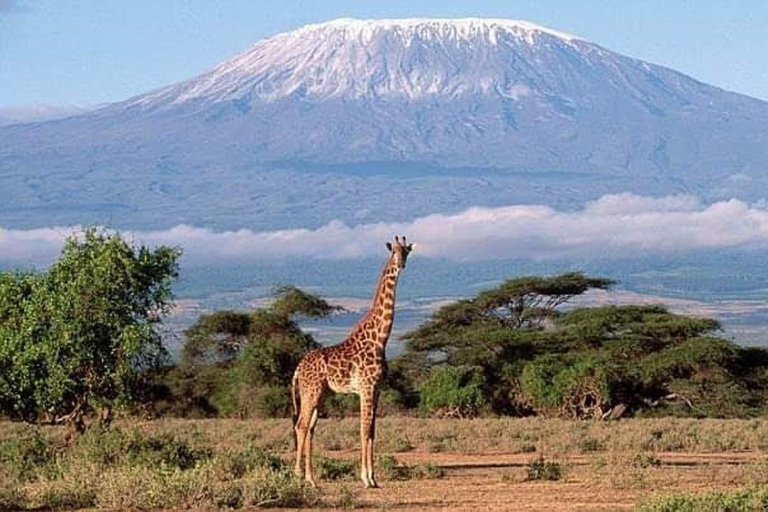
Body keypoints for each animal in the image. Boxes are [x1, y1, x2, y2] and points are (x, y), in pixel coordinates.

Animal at [292, 236, 414, 488]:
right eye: (394, 252)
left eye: (406, 251)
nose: (401, 264)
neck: (380, 339)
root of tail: (298, 368)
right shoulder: (366, 388)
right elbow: (364, 430)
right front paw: (366, 478)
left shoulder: (376, 389)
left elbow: (372, 431)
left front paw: (373, 478)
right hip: (310, 392)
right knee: (301, 425)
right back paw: (299, 475)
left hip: (321, 394)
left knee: (310, 429)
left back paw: (311, 478)